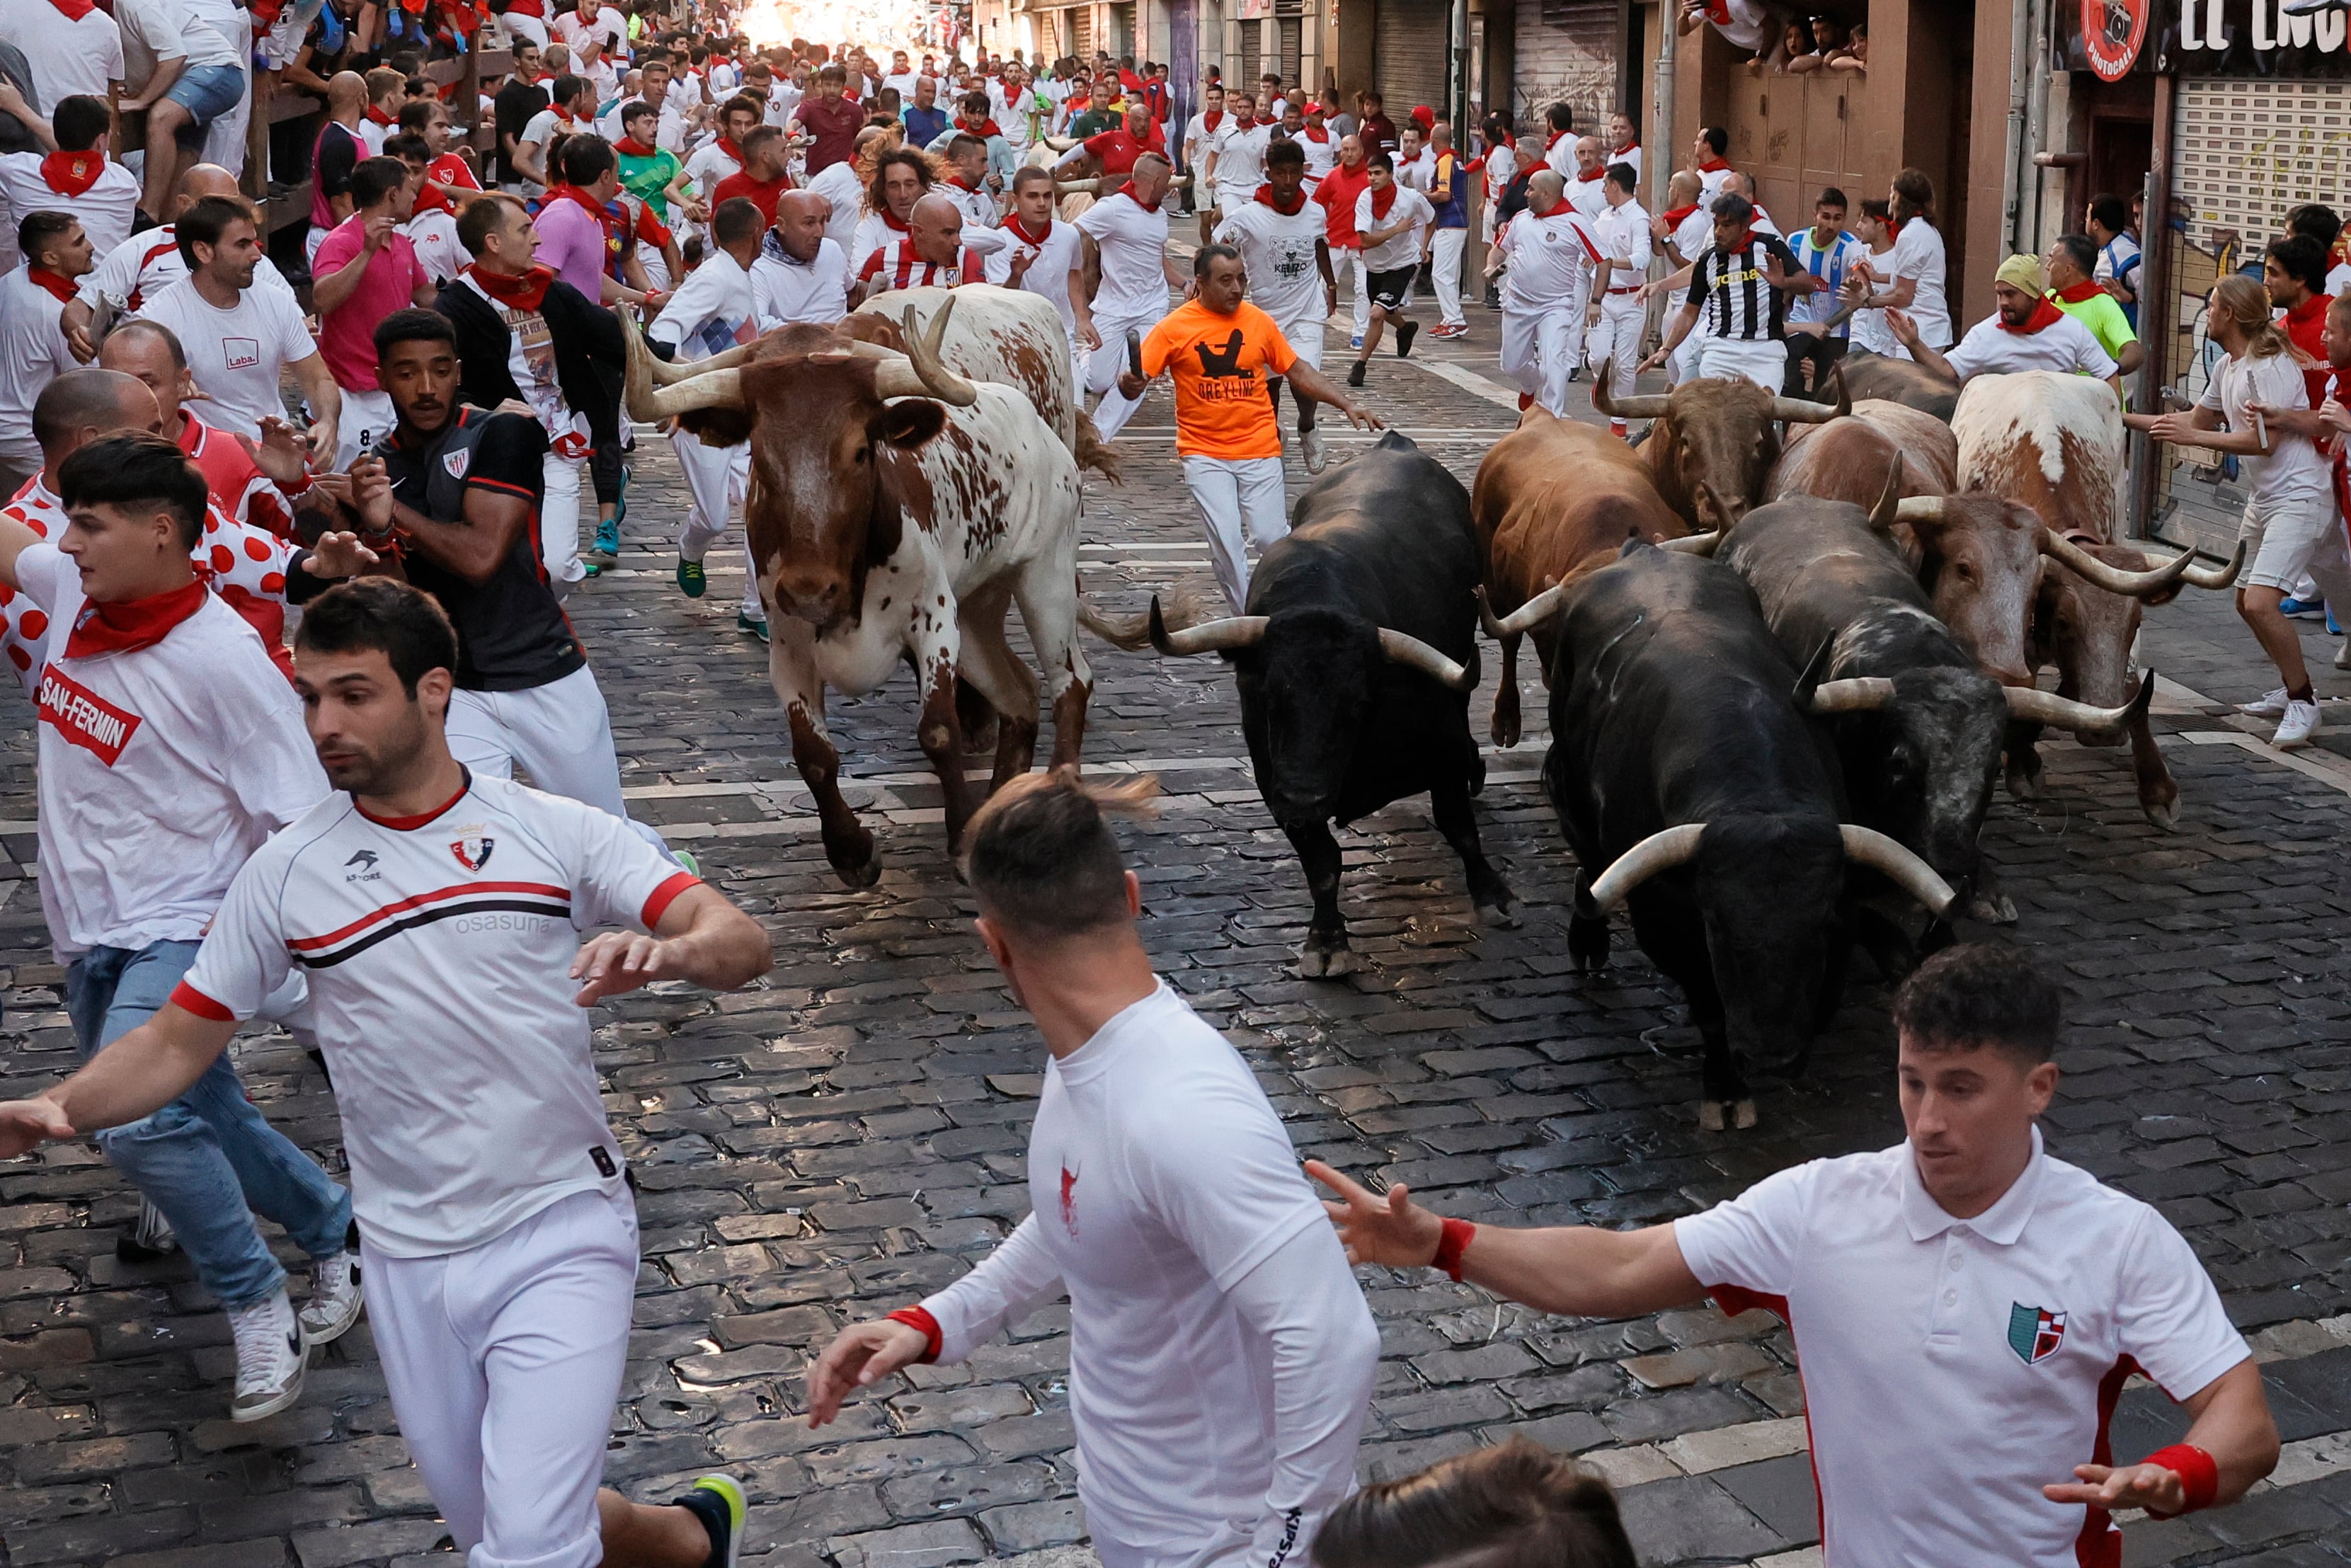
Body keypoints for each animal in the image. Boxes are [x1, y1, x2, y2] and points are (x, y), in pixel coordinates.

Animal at [1143, 435, 1514, 973]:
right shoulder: (1273, 779)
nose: (1304, 797)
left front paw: (1492, 896)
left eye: (1357, 703)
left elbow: (1459, 826)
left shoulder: (1441, 744)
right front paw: (1326, 941)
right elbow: (1322, 864)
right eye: (1268, 695)